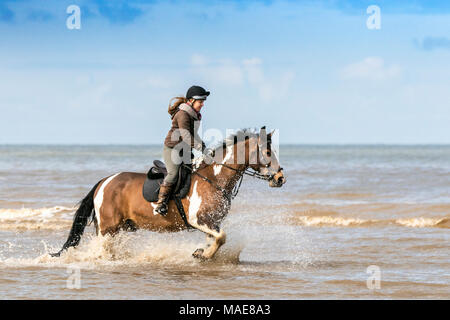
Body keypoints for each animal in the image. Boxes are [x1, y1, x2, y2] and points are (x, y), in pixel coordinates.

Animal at [51, 127, 284, 260]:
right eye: (268, 152)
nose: (280, 178)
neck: (215, 178)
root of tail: (104, 181)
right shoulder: (197, 220)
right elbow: (222, 237)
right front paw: (204, 254)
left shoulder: (212, 221)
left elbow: (215, 239)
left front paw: (201, 252)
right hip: (108, 229)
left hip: (121, 227)